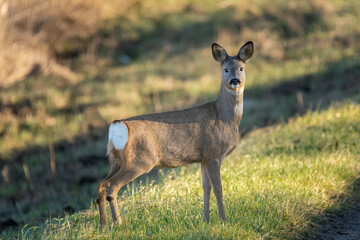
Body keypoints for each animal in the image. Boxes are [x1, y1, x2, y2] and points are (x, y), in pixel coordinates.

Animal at [97, 40, 255, 226]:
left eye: (241, 68)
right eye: (225, 69)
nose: (235, 80)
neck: (224, 117)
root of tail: (118, 125)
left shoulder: (203, 157)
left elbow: (206, 187)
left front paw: (205, 220)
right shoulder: (213, 153)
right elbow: (218, 188)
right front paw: (223, 220)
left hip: (115, 160)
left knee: (101, 184)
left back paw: (104, 225)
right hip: (139, 160)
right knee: (111, 186)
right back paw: (118, 224)